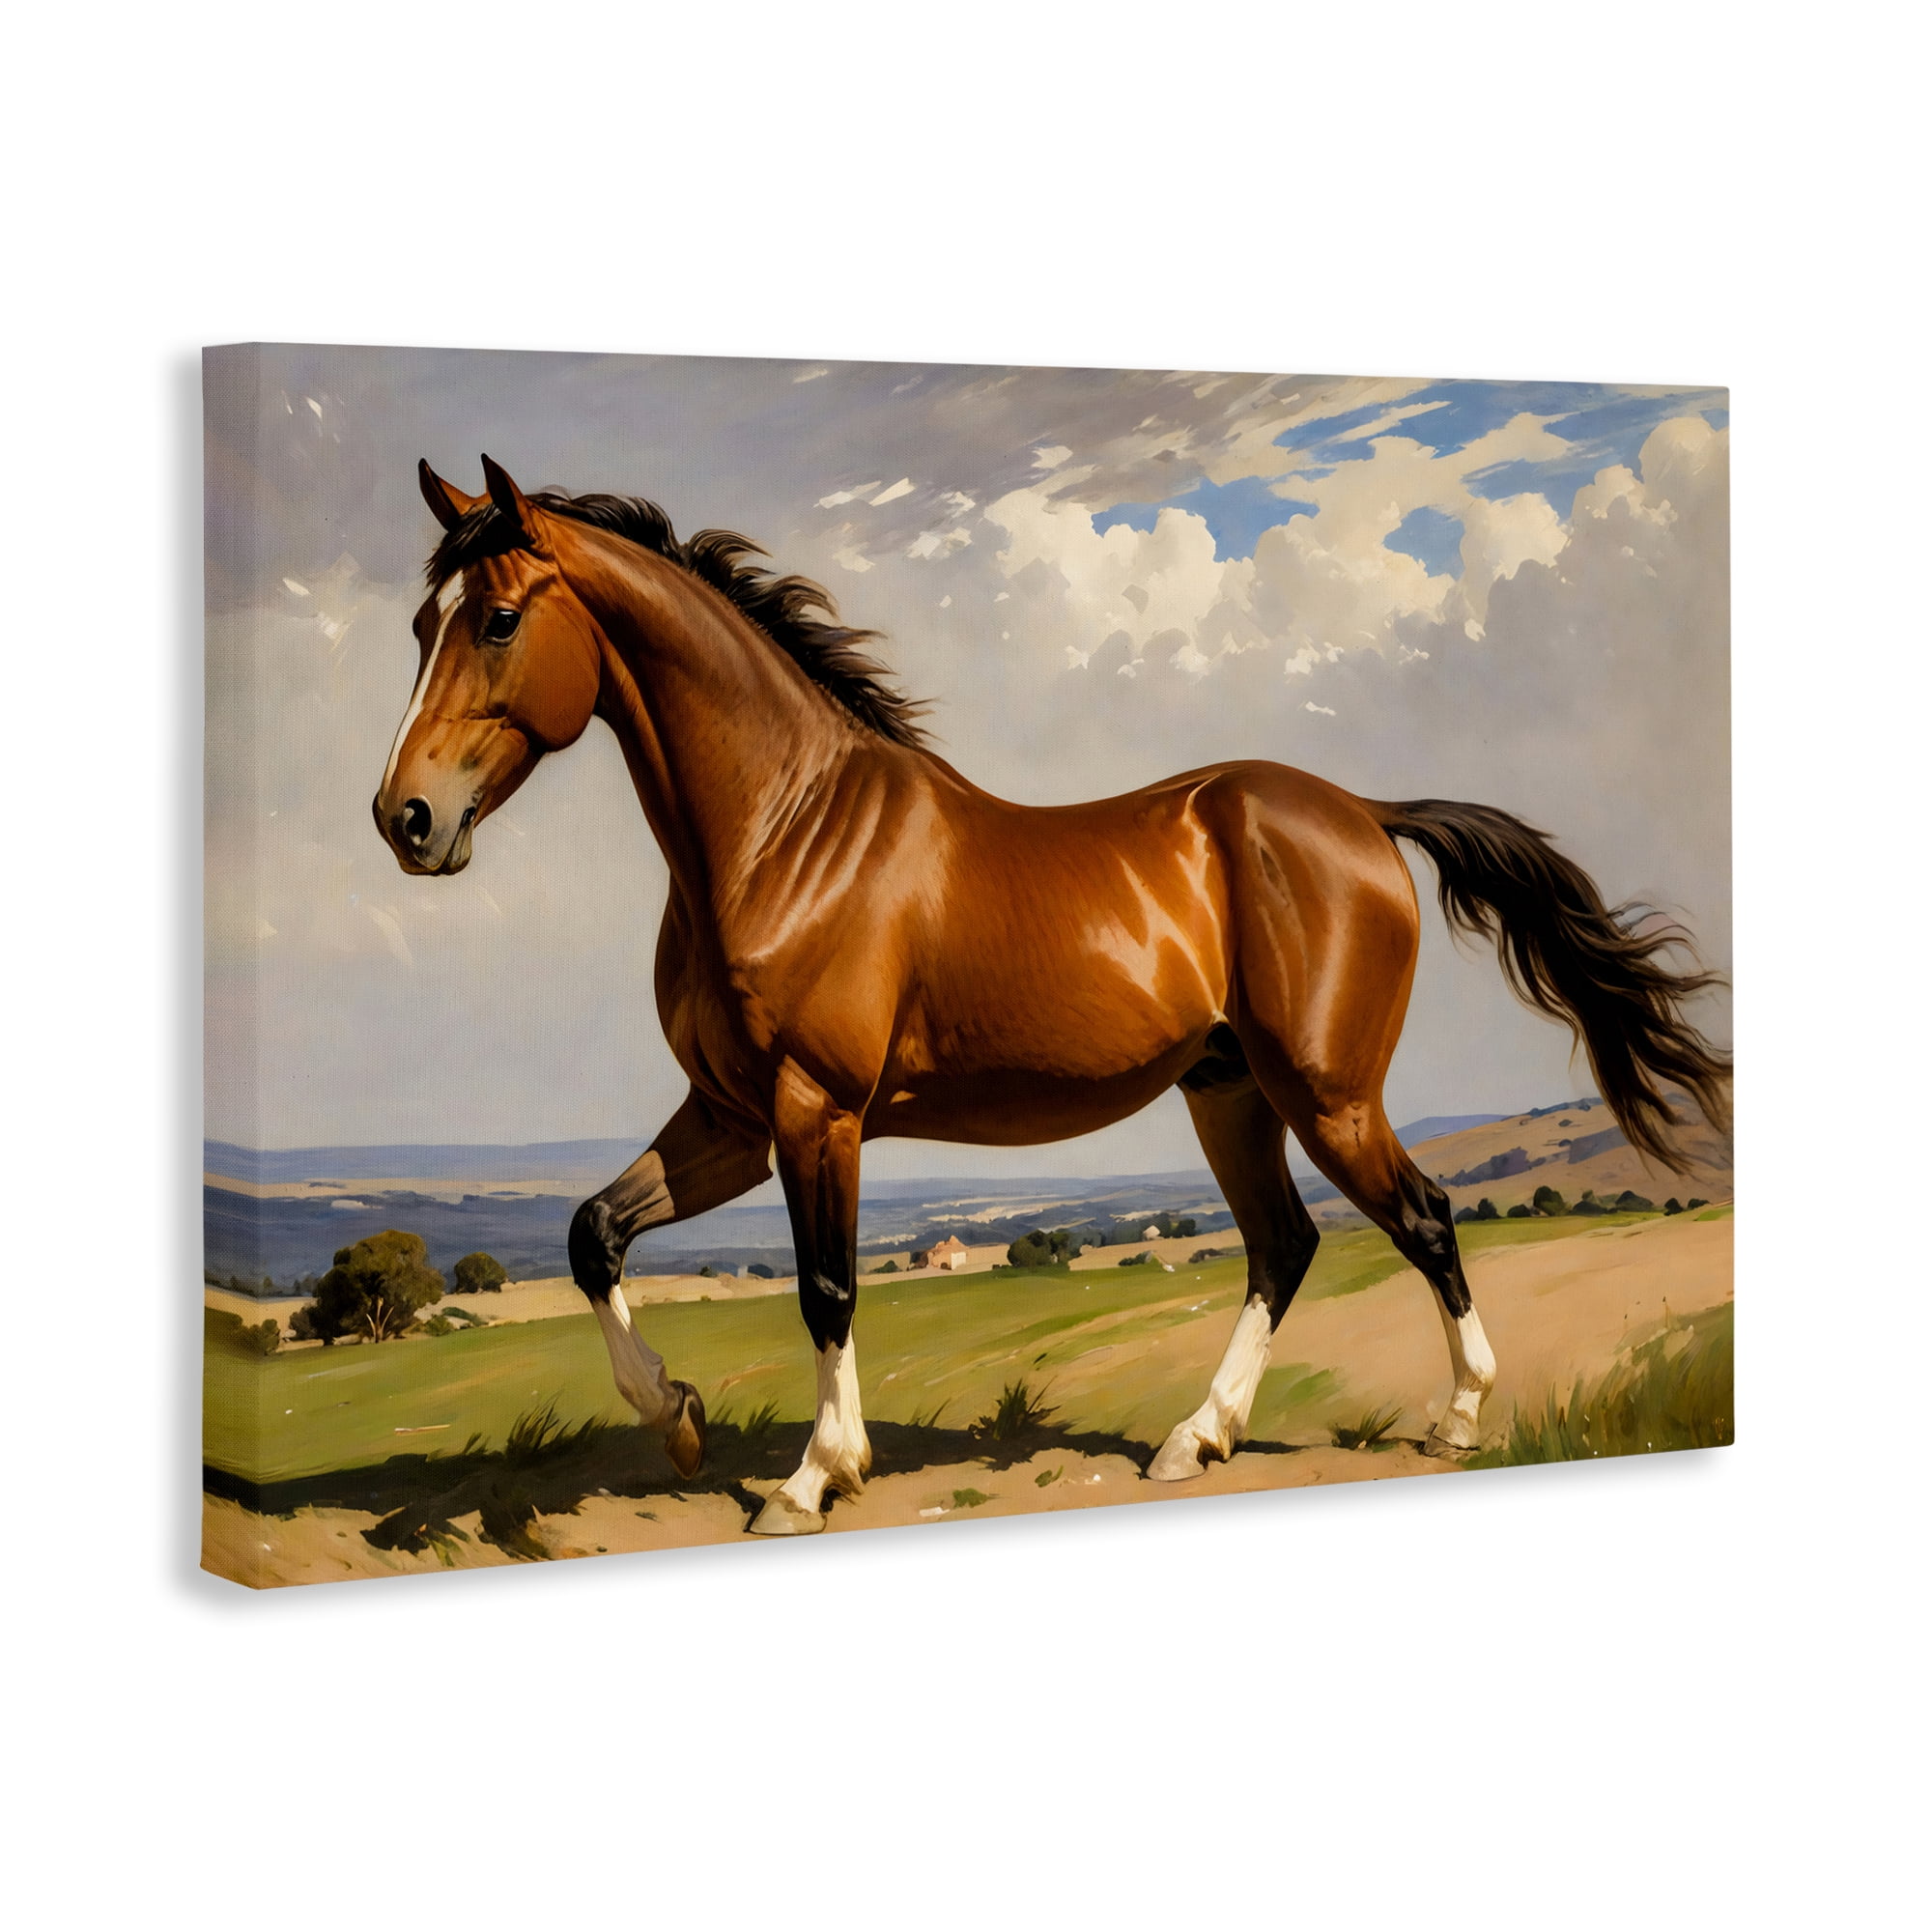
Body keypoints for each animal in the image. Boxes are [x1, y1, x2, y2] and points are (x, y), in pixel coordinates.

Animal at [373, 455, 1731, 1534]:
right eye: (419, 623)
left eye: (497, 619)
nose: (406, 819)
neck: (782, 833)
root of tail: (1359, 812)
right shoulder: (730, 1115)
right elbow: (591, 1232)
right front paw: (680, 1417)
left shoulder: (816, 1110)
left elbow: (825, 1287)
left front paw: (813, 1476)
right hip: (1228, 1090)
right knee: (1282, 1244)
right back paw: (1193, 1438)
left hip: (1325, 1091)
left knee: (1426, 1215)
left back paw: (1452, 1416)